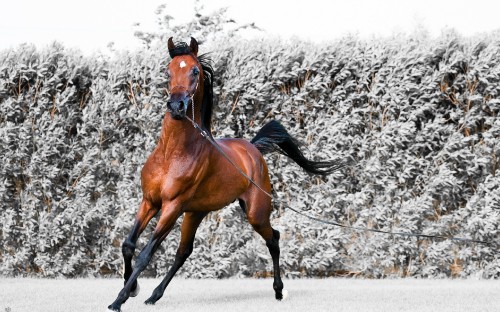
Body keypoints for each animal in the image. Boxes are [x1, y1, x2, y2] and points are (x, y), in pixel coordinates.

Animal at [108, 37, 344, 310]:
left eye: (195, 71)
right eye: (168, 71)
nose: (177, 106)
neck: (171, 154)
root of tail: (253, 149)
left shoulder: (171, 206)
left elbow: (145, 254)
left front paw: (119, 299)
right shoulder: (149, 201)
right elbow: (128, 244)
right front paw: (133, 288)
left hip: (255, 212)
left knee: (273, 239)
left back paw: (279, 291)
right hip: (196, 212)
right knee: (184, 252)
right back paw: (153, 296)